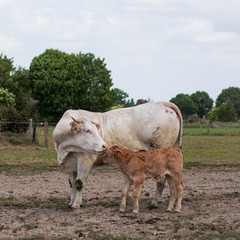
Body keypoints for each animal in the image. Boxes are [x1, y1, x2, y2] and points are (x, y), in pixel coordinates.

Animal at [53, 101, 183, 208]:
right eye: (87, 130)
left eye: (95, 129)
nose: (104, 146)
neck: (65, 148)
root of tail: (162, 103)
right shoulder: (71, 165)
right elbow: (72, 184)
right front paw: (71, 202)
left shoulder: (85, 160)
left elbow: (79, 183)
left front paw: (76, 204)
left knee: (161, 180)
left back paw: (154, 203)